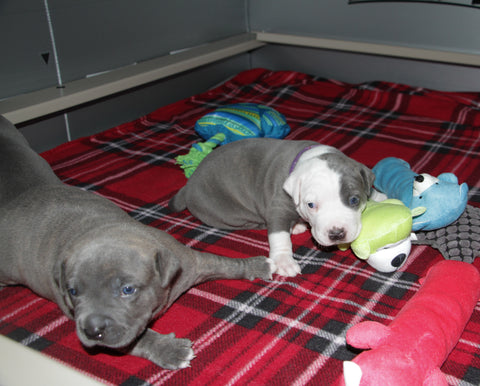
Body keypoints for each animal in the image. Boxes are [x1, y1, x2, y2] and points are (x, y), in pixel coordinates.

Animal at [0, 116, 274, 370]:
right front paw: (169, 350)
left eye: (127, 289)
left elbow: (224, 263)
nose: (92, 330)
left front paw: (255, 266)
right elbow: (136, 340)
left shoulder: (191, 261)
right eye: (73, 292)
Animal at [170, 139, 376, 278]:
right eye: (311, 205)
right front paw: (284, 261)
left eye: (354, 200)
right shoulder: (278, 206)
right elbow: (279, 236)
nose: (336, 233)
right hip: (228, 213)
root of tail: (188, 186)